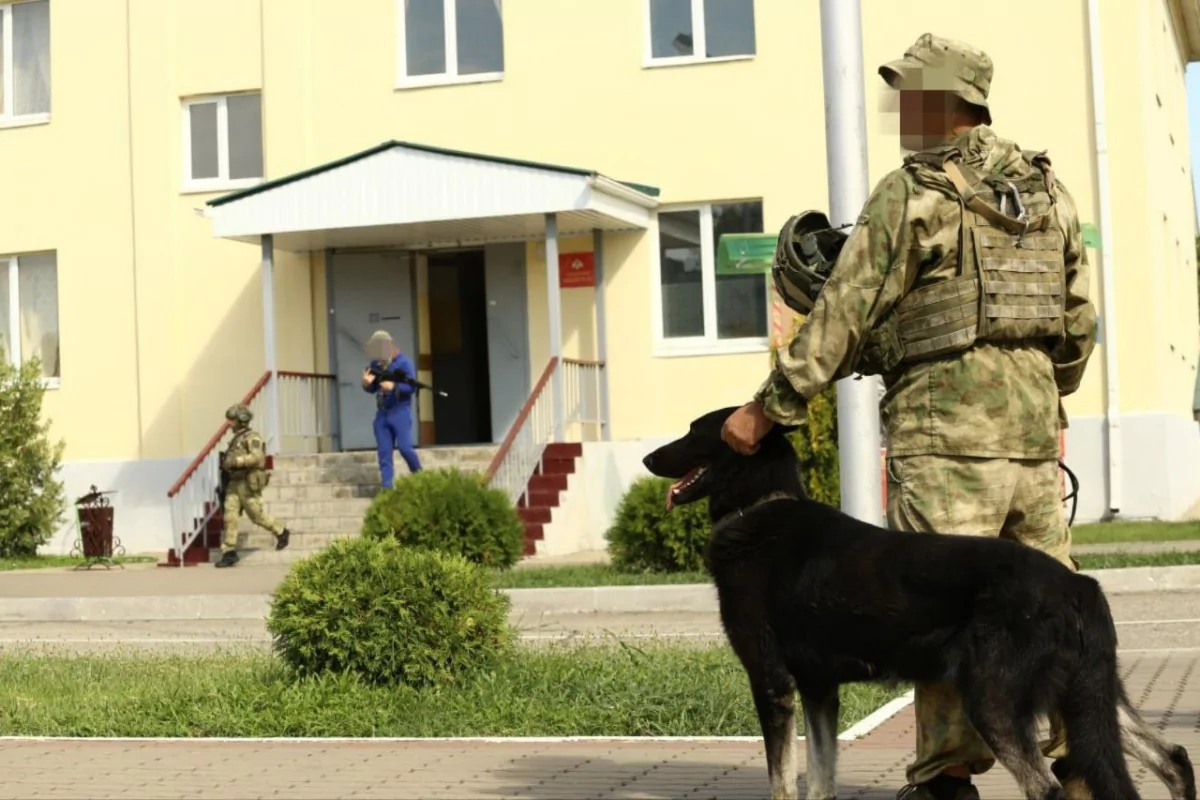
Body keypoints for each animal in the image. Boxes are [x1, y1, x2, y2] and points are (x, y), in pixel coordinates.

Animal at [643, 410, 1195, 800]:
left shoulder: (771, 682)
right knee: (1172, 758)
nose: (647, 459)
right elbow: (820, 781)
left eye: (694, 430)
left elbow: (782, 782)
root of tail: (1078, 585)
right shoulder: (820, 690)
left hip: (994, 701)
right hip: (1087, 696)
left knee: (1049, 789)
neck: (758, 507)